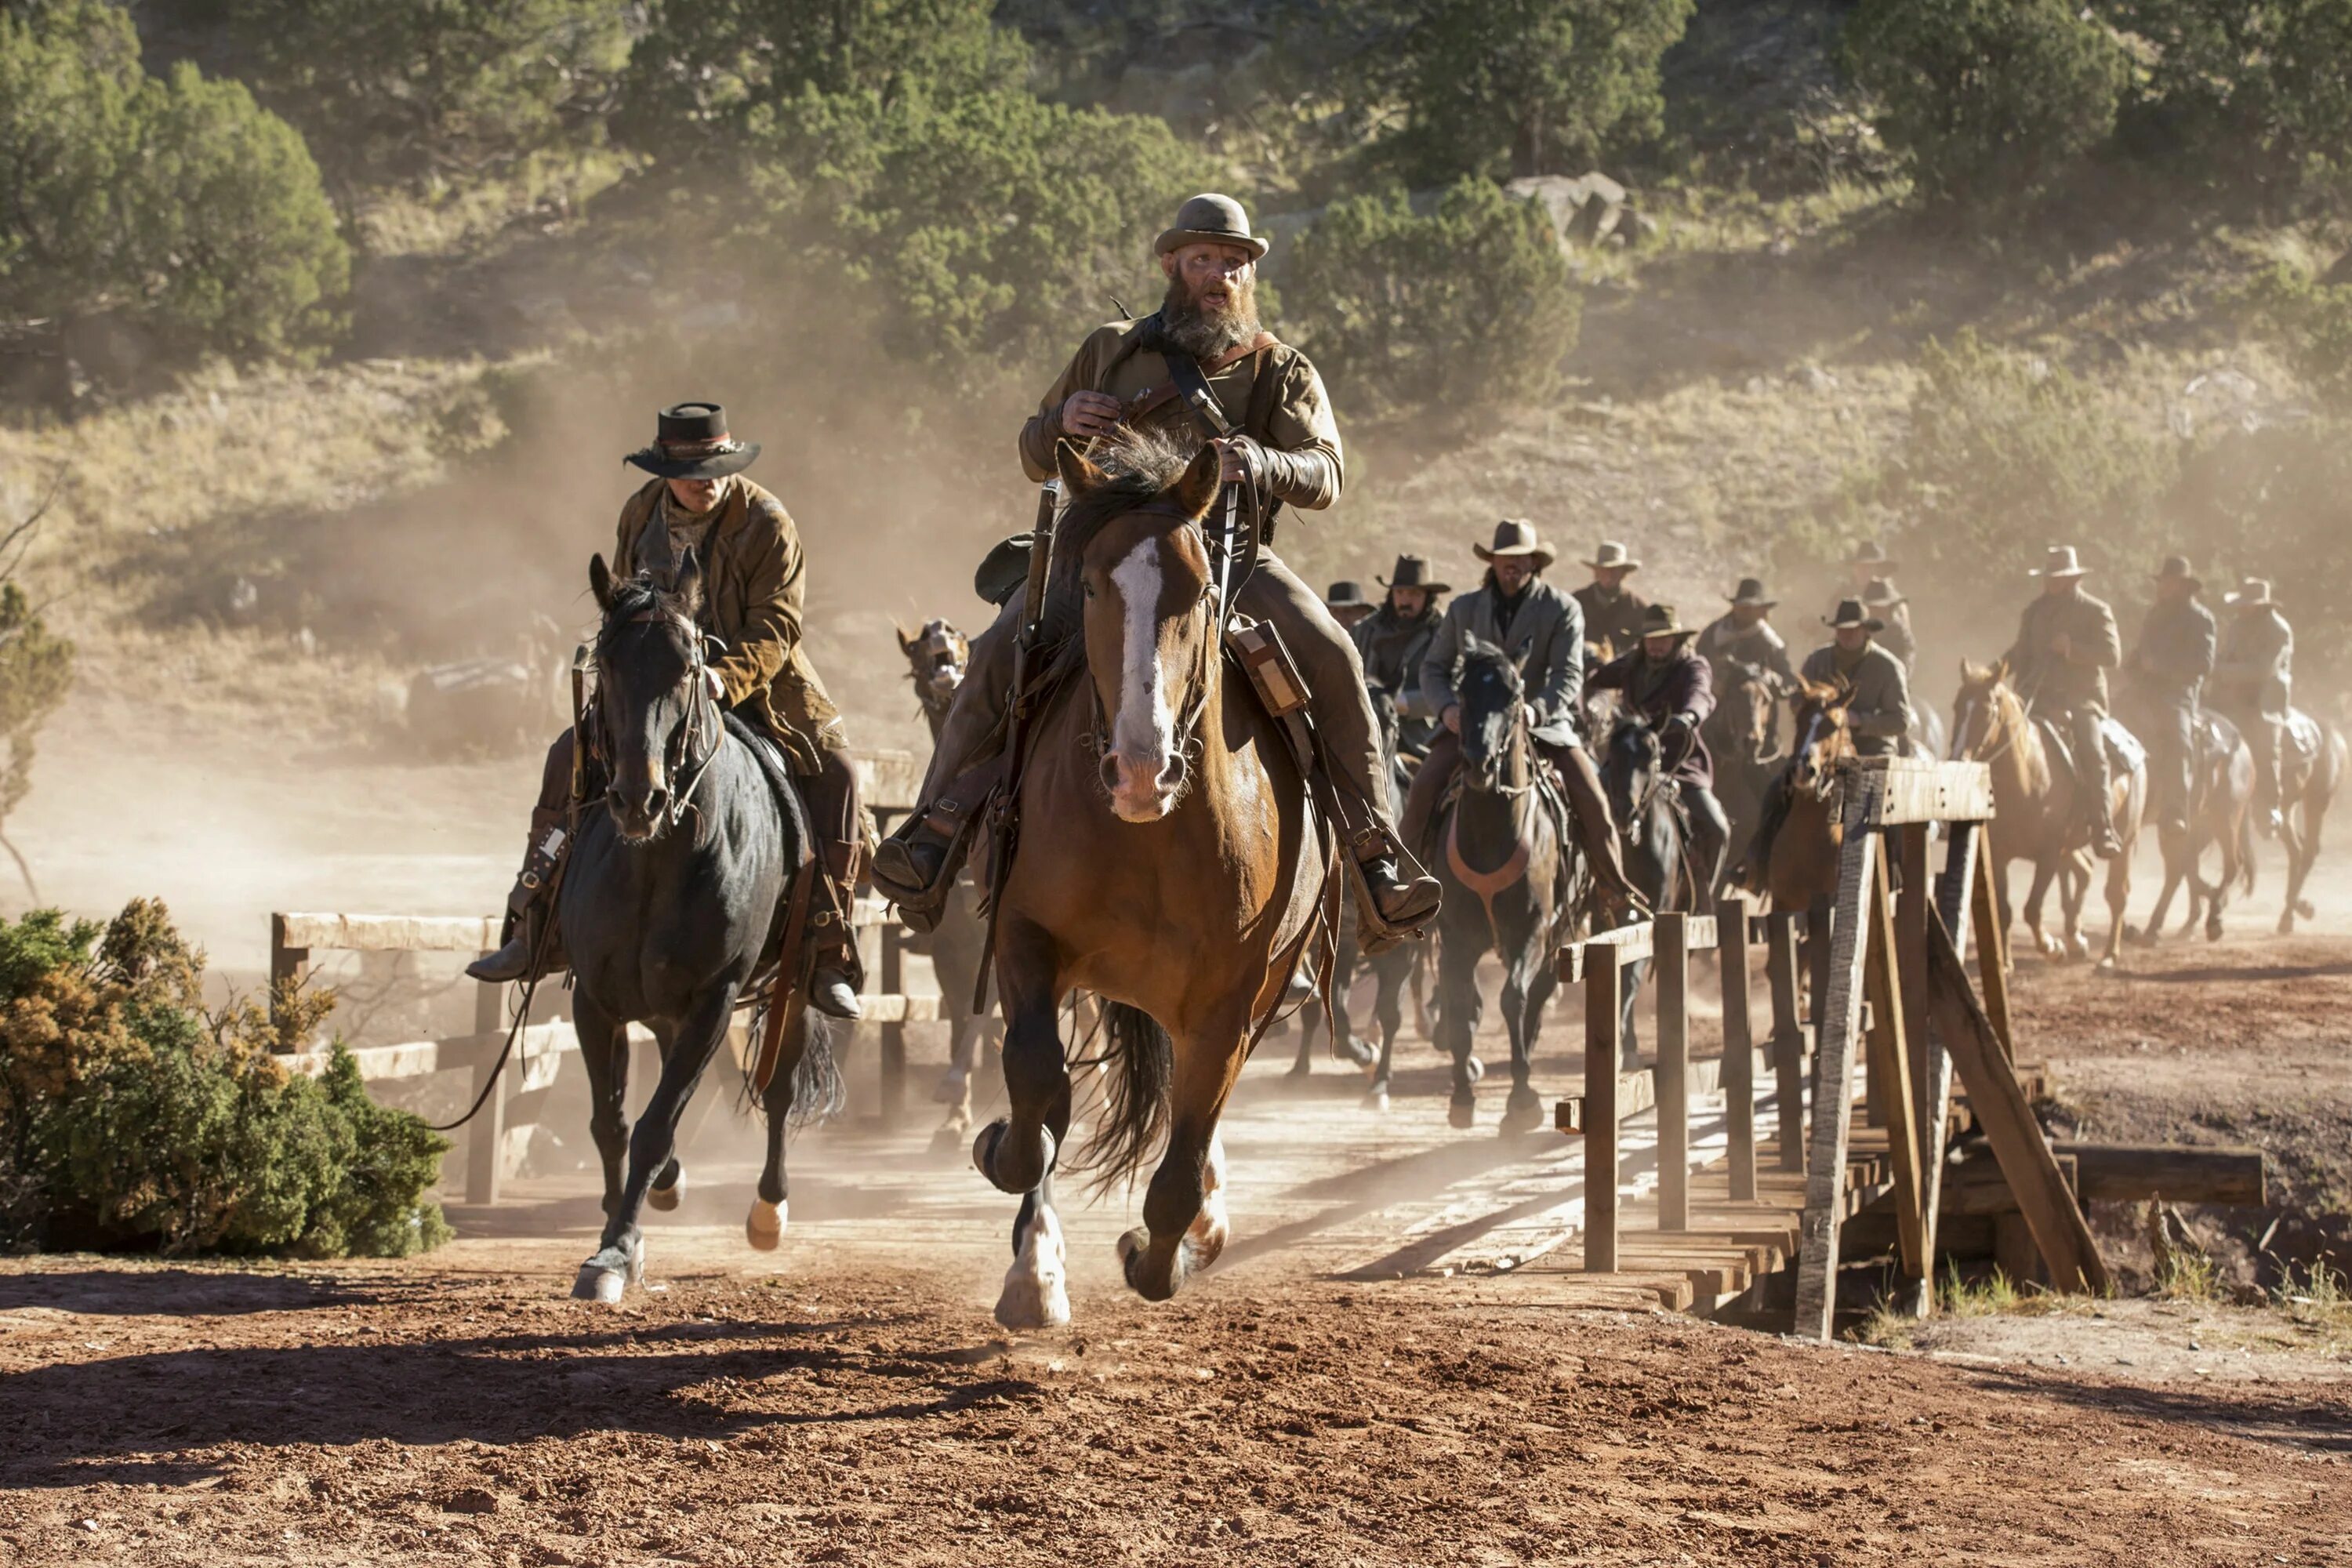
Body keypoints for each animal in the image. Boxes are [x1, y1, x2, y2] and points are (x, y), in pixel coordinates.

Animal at [557, 557, 837, 1307]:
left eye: (688, 666)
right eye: (607, 665)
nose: (638, 798)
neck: (655, 864)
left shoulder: (717, 999)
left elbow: (655, 1126)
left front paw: (617, 1251)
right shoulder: (593, 1001)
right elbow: (610, 1121)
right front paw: (618, 1231)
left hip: (794, 988)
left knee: (777, 1091)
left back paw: (769, 1209)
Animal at [969, 434, 1336, 1335]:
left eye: (1201, 588)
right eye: (1090, 584)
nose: (1143, 769)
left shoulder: (1232, 1002)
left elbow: (1181, 1158)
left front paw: (1166, 1251)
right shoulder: (1025, 940)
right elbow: (1038, 1089)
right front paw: (1015, 1197)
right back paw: (1036, 1267)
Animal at [1421, 639, 1571, 1142]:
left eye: (1513, 697)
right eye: (1462, 695)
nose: (1479, 764)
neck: (1490, 835)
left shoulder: (1532, 931)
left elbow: (1515, 1000)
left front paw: (1522, 1101)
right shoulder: (1456, 938)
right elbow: (1460, 1004)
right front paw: (1462, 1097)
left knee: (1535, 998)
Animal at [1957, 658, 2145, 968]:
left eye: (1986, 710)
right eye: (1957, 706)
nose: (1958, 759)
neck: (2028, 777)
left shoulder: (2048, 854)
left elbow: (2032, 908)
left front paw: (2052, 947)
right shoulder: (1999, 855)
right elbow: (2004, 910)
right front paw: (2006, 963)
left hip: (2126, 840)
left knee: (2117, 895)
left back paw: (2108, 956)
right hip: (2072, 845)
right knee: (2085, 871)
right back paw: (2077, 939)